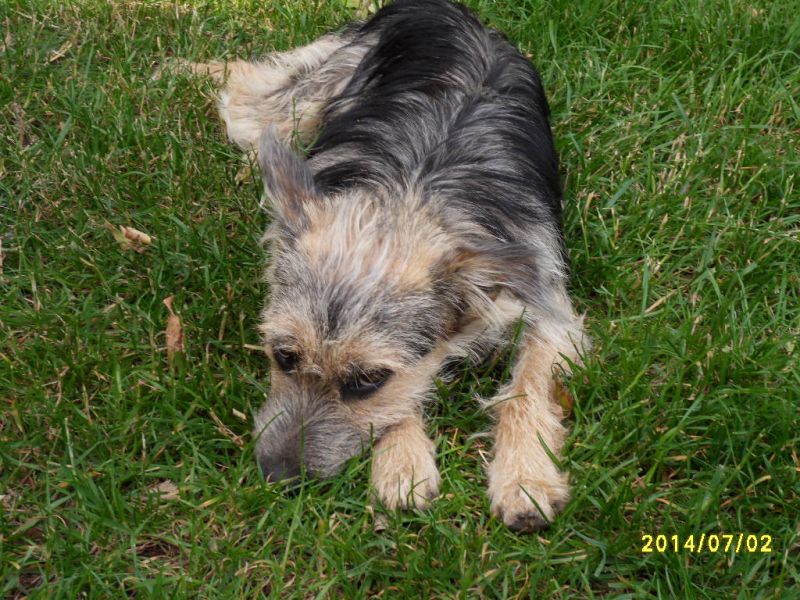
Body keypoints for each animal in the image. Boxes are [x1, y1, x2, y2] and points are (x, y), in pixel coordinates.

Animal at [184, 0, 587, 532]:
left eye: (368, 380)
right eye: (283, 356)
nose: (277, 476)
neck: (413, 192)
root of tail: (441, 7)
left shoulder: (547, 301)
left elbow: (529, 385)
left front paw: (525, 476)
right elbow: (408, 399)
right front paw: (403, 463)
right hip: (309, 94)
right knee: (246, 96)